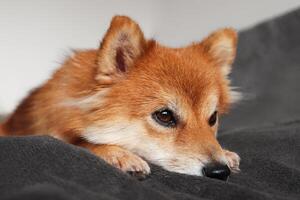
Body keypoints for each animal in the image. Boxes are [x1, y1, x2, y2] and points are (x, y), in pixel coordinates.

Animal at [0, 16, 241, 180]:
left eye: (212, 118)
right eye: (164, 116)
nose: (219, 171)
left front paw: (226, 153)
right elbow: (84, 143)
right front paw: (119, 155)